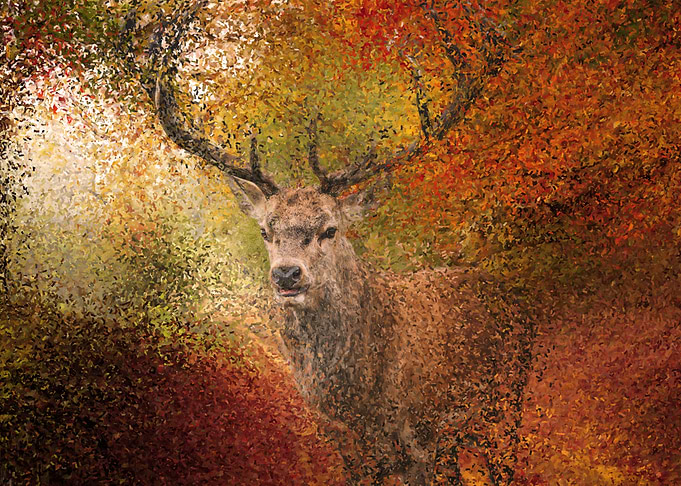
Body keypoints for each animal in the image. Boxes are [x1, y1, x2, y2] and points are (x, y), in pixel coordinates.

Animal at [125, 1, 535, 484]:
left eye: (330, 229)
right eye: (265, 230)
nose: (286, 274)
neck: (357, 398)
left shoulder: (419, 436)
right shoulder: (344, 444)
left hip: (505, 403)